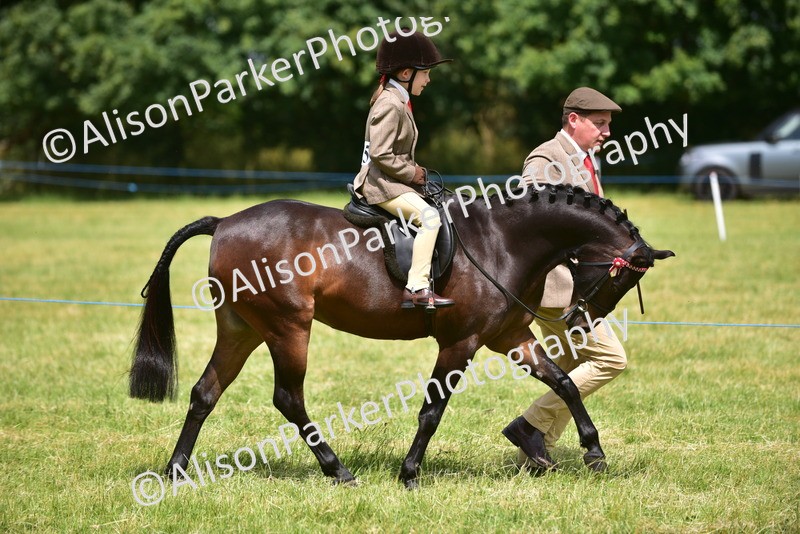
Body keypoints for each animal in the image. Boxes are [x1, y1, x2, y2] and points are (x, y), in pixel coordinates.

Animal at [129, 183, 674, 488]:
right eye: (620, 278)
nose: (580, 322)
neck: (503, 241)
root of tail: (224, 222)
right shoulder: (460, 344)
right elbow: (432, 410)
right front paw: (410, 473)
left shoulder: (511, 337)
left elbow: (562, 382)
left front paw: (592, 451)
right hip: (288, 328)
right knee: (288, 398)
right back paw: (337, 470)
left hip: (241, 329)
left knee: (206, 392)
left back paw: (175, 472)